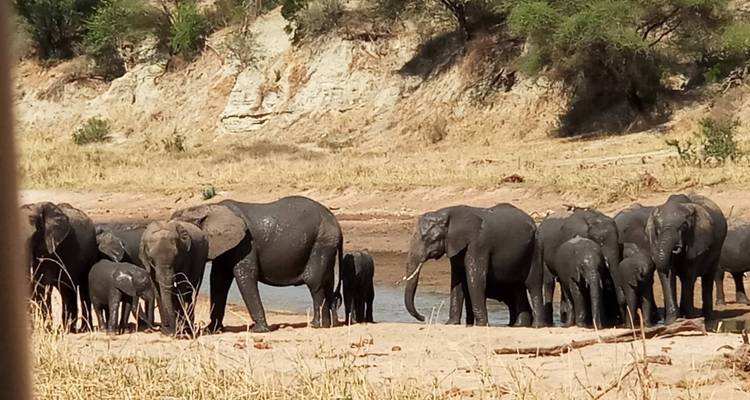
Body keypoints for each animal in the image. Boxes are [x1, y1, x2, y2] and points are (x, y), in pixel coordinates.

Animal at [20, 202, 98, 331]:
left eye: (34, 236)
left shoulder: (51, 248)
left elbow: (42, 283)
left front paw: (45, 329)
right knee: (66, 290)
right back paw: (69, 329)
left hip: (91, 254)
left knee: (83, 289)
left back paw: (83, 329)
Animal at [170, 196, 344, 333]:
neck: (207, 208)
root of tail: (337, 224)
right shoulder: (226, 246)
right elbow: (219, 280)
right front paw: (212, 330)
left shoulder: (246, 243)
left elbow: (245, 276)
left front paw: (258, 331)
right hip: (326, 244)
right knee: (327, 282)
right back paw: (331, 324)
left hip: (322, 242)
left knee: (313, 281)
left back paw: (317, 325)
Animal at [403, 203, 543, 327]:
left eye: (428, 238)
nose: (423, 317)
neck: (448, 214)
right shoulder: (456, 246)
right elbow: (457, 280)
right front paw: (451, 323)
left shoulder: (479, 244)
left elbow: (475, 278)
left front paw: (481, 325)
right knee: (518, 287)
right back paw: (519, 325)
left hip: (535, 247)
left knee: (533, 283)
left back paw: (536, 326)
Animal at [646, 194, 727, 323]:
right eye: (657, 228)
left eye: (684, 226)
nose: (676, 248)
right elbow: (667, 275)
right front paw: (671, 321)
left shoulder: (697, 240)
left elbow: (688, 274)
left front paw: (689, 317)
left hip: (718, 248)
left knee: (708, 277)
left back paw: (708, 318)